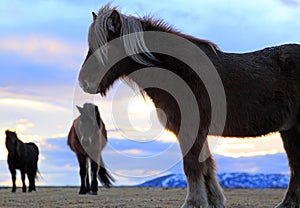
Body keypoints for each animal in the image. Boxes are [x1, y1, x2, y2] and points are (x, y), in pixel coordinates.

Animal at [78, 3, 300, 208]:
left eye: (108, 47)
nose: (84, 82)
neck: (181, 73)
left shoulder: (192, 130)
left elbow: (192, 166)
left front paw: (193, 202)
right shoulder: (198, 133)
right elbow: (207, 167)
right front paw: (214, 201)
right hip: (289, 130)